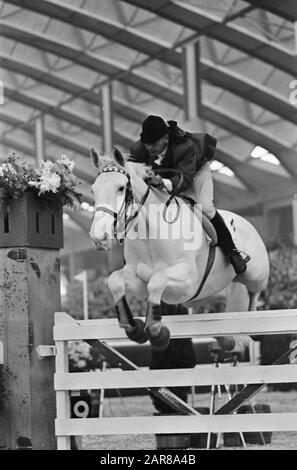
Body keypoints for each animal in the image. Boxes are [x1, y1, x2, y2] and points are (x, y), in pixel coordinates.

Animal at [88, 147, 268, 348]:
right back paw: (225, 339)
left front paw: (157, 333)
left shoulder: (187, 279)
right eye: (93, 190)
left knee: (254, 292)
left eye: (120, 188)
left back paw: (255, 326)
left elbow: (157, 281)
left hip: (255, 275)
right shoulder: (138, 281)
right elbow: (116, 280)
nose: (98, 237)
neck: (150, 233)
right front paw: (134, 329)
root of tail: (247, 222)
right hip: (208, 293)